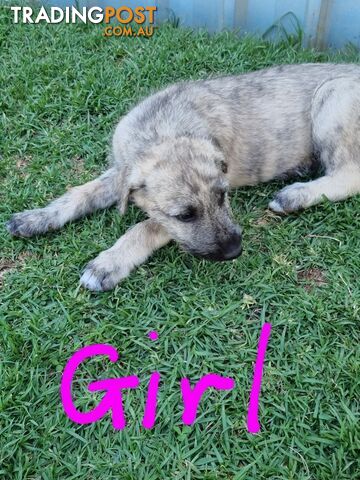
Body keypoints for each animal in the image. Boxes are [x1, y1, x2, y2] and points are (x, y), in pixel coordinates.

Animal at [7, 62, 360, 290]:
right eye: (185, 215)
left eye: (222, 196)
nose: (234, 251)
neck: (161, 131)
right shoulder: (122, 171)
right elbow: (82, 192)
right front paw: (37, 217)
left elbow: (146, 226)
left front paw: (109, 262)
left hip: (333, 96)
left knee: (349, 174)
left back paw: (294, 195)